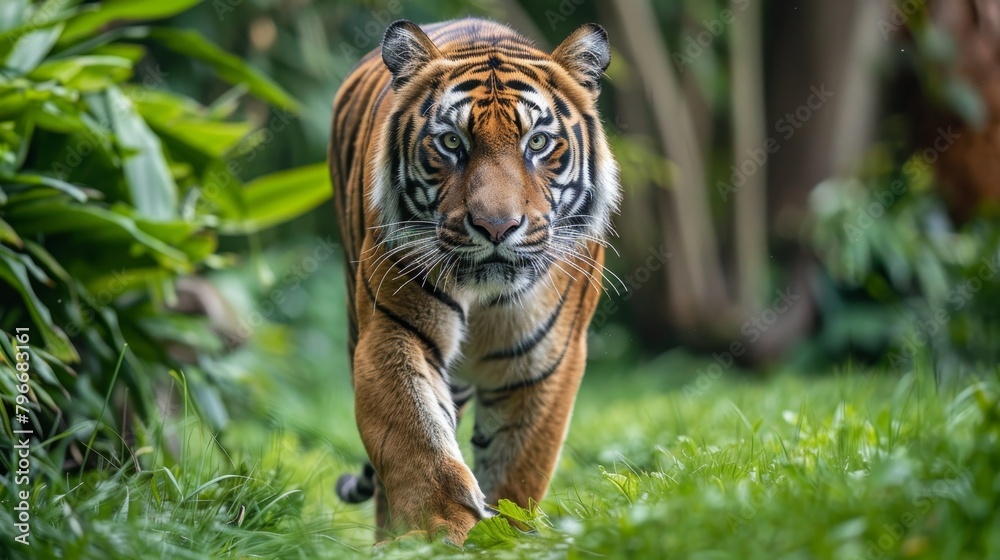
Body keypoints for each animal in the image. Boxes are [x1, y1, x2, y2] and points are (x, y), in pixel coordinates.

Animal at [327, 17, 620, 544]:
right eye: (451, 143)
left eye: (537, 143)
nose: (496, 227)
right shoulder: (392, 333)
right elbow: (418, 443)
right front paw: (439, 536)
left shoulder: (547, 362)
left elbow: (517, 474)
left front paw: (504, 540)